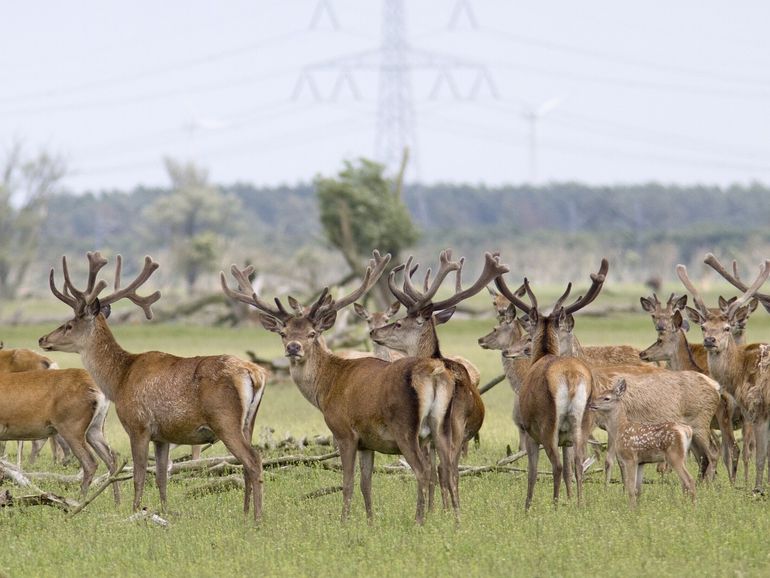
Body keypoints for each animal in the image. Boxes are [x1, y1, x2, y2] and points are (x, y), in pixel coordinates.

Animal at [39, 250, 268, 520]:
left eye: (69, 324)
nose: (42, 339)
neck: (120, 379)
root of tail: (256, 373)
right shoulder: (162, 436)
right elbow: (161, 477)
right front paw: (164, 511)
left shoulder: (138, 425)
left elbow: (138, 475)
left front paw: (135, 512)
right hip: (249, 421)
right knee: (248, 463)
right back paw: (245, 513)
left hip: (225, 419)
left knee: (253, 460)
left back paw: (257, 518)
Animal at [222, 250, 462, 520]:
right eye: (283, 333)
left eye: (312, 333)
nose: (294, 347)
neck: (328, 386)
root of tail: (435, 373)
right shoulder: (368, 441)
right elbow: (366, 484)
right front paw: (370, 521)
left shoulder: (343, 431)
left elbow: (348, 483)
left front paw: (344, 521)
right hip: (441, 427)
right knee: (449, 470)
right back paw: (455, 520)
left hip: (406, 429)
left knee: (423, 471)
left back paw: (419, 520)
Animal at [492, 258, 608, 508]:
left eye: (529, 336)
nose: (508, 351)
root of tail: (571, 377)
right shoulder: (567, 440)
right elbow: (570, 471)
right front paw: (570, 499)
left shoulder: (528, 430)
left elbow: (532, 472)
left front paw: (527, 506)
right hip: (583, 422)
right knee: (578, 464)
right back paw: (580, 504)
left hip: (548, 424)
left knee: (557, 465)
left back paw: (554, 506)